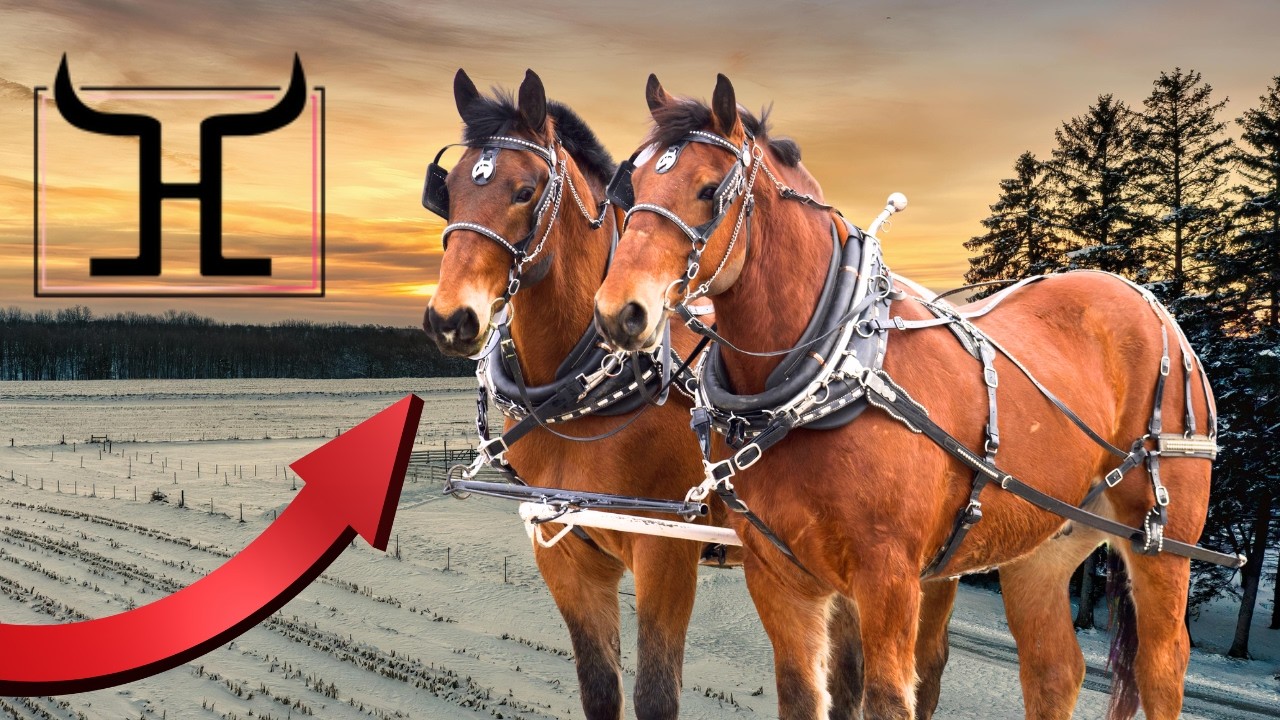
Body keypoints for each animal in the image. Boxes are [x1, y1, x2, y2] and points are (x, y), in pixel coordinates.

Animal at [420, 69, 867, 720]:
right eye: (447, 192)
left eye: (524, 191)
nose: (451, 319)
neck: (583, 402)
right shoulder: (562, 552)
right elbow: (600, 688)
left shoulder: (665, 553)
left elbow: (656, 693)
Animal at [593, 74, 1219, 720]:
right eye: (632, 187)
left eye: (710, 189)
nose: (620, 312)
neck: (830, 370)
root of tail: (1149, 303)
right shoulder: (778, 577)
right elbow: (802, 695)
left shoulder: (889, 578)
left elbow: (890, 699)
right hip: (1045, 545)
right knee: (1055, 671)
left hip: (1162, 544)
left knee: (1161, 667)